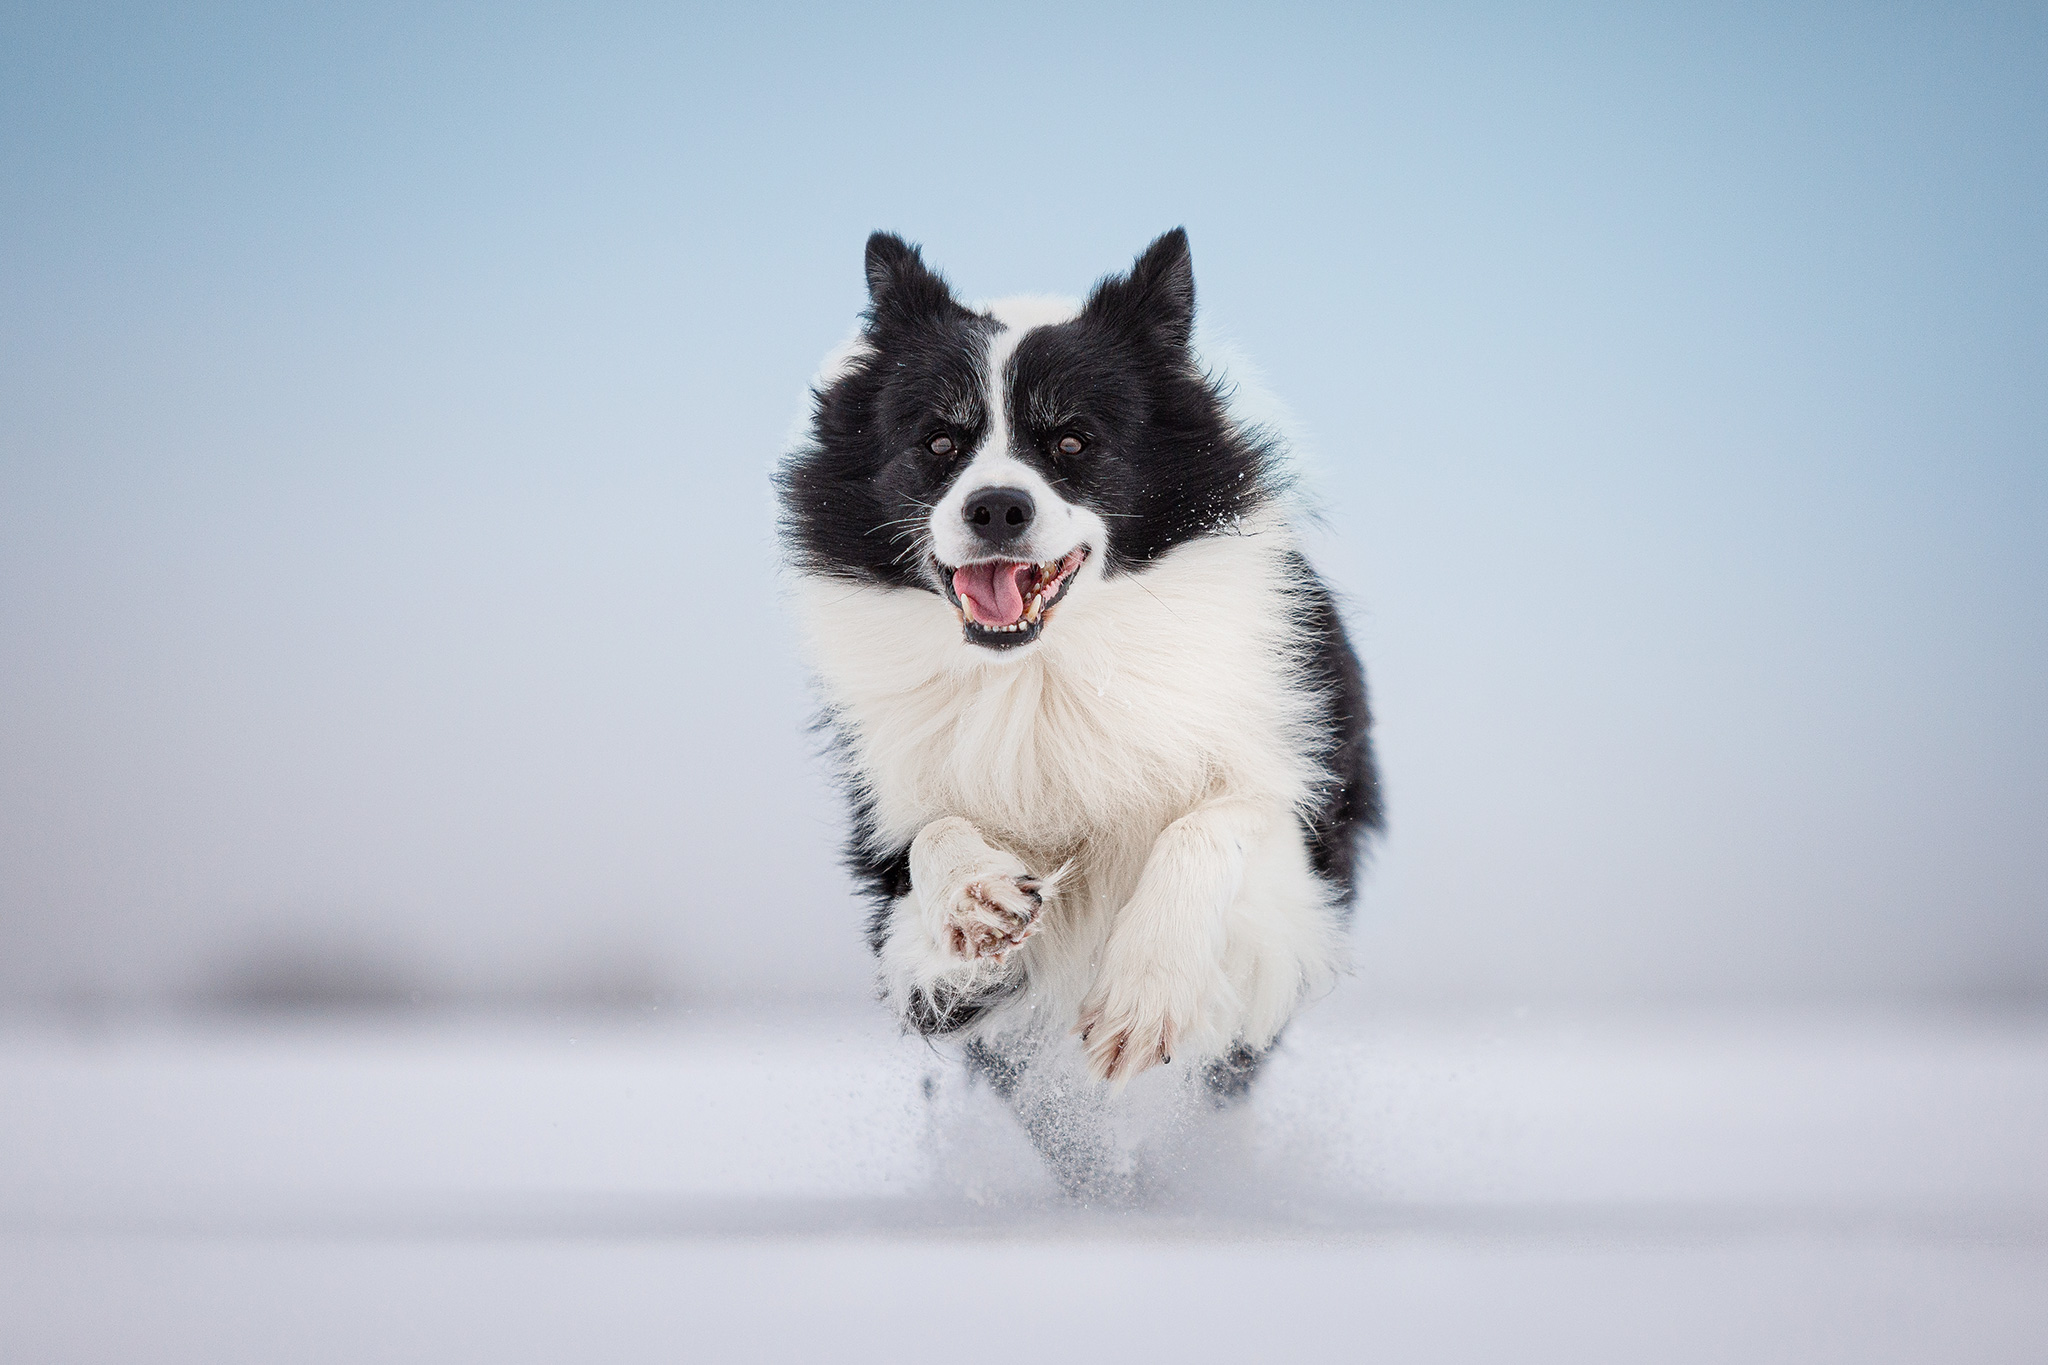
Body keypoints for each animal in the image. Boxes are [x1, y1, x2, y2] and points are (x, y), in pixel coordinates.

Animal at [774, 232, 1384, 1146]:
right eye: (939, 443)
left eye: (1071, 442)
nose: (996, 507)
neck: (1041, 675)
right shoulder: (898, 895)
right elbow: (933, 842)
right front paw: (975, 893)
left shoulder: (1306, 833)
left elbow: (1214, 823)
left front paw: (1145, 995)